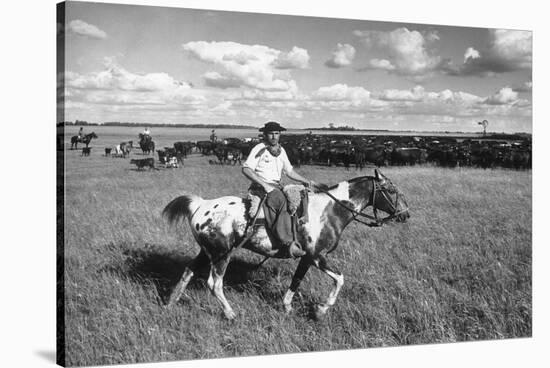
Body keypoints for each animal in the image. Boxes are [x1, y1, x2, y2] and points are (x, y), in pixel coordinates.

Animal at [163, 170, 410, 320]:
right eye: (391, 190)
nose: (405, 214)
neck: (329, 211)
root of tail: (200, 204)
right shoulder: (317, 256)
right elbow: (339, 279)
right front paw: (320, 310)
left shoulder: (307, 258)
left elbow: (296, 280)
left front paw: (287, 306)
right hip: (222, 254)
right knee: (214, 284)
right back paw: (231, 314)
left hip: (207, 252)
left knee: (189, 270)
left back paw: (170, 303)